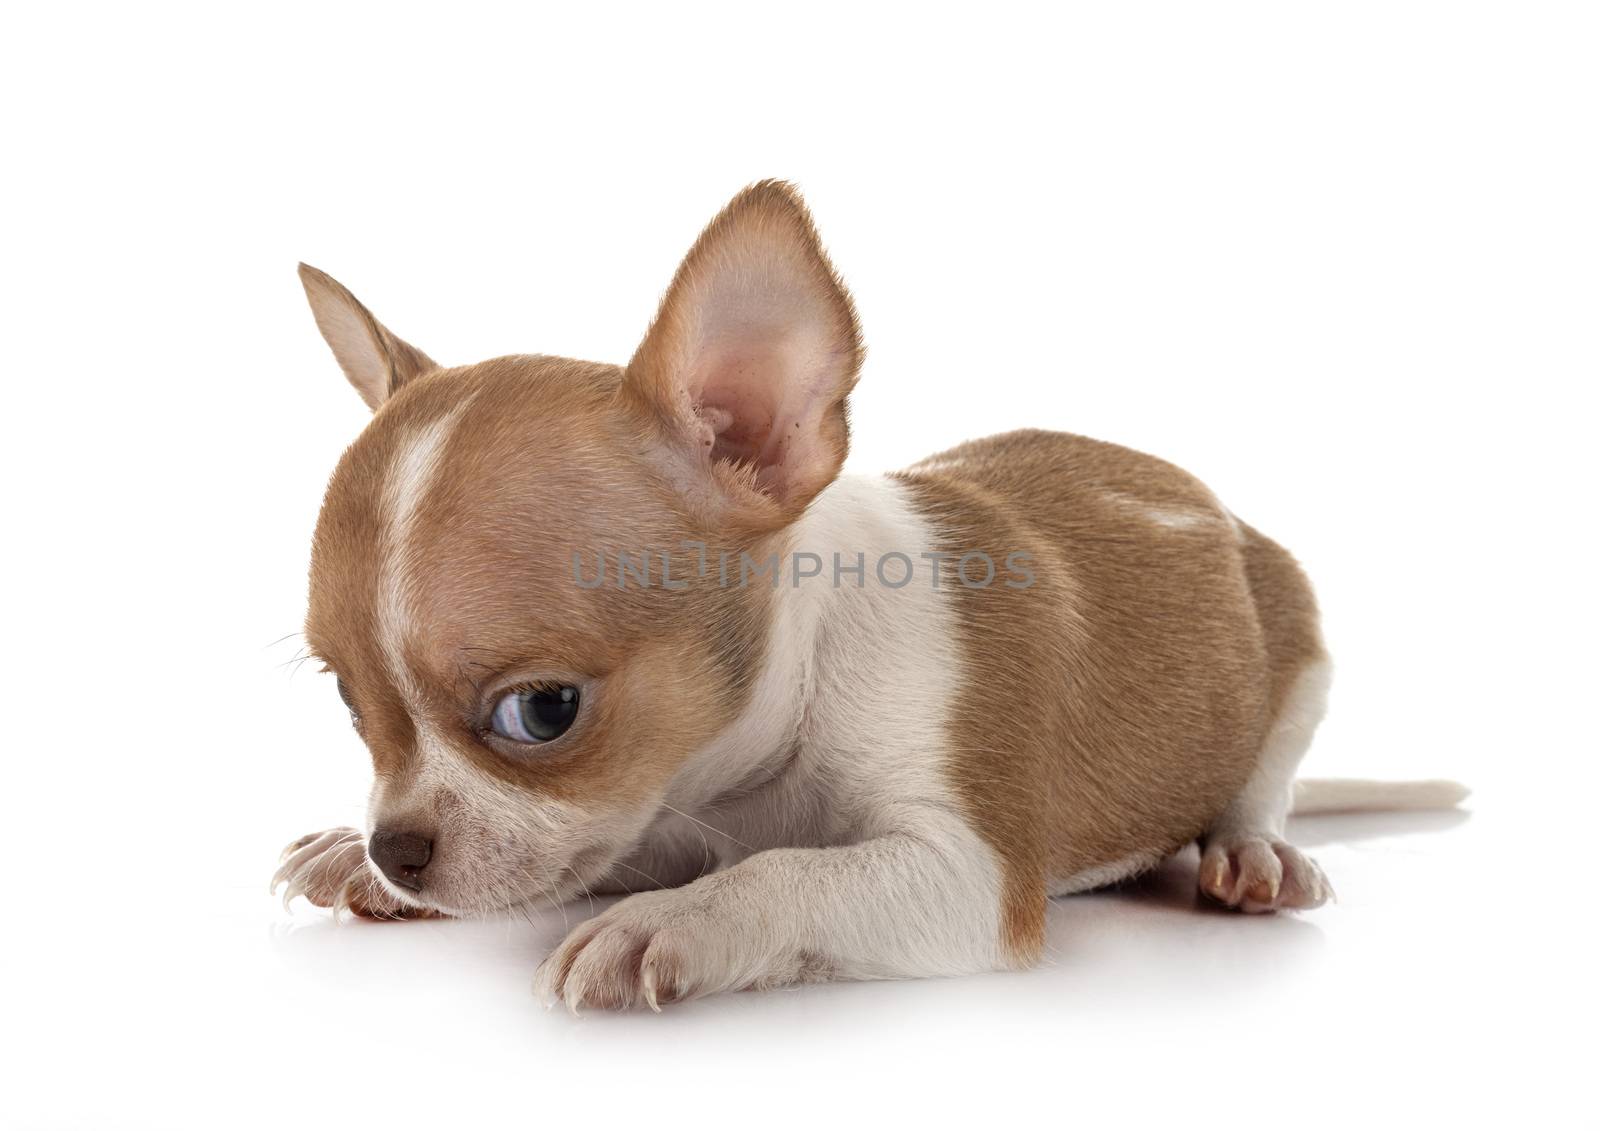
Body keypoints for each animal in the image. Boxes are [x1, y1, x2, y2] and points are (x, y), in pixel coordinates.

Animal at [272, 181, 1465, 1011]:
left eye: (542, 712)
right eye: (347, 706)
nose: (396, 848)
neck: (769, 755)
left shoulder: (968, 875)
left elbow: (786, 875)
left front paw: (674, 921)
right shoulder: (664, 811)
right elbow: (633, 845)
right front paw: (351, 856)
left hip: (1298, 642)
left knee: (1263, 779)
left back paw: (1255, 851)